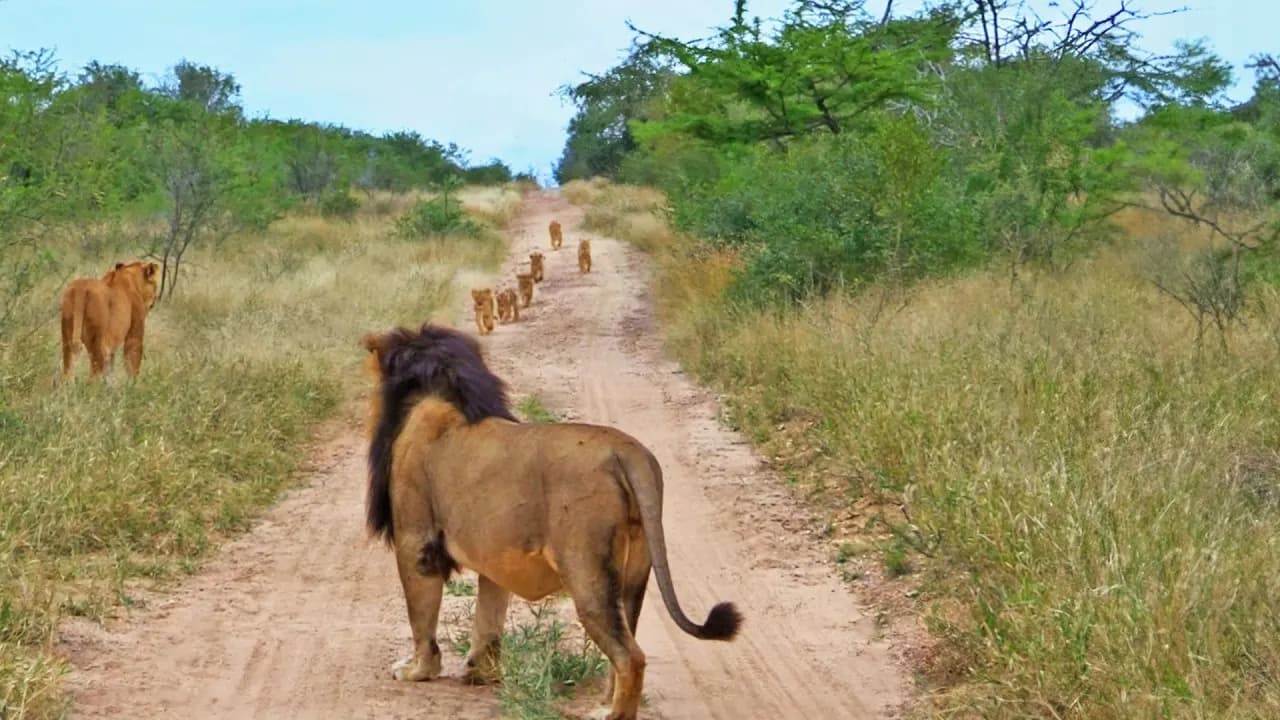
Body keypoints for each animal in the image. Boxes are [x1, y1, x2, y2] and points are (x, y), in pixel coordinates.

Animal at [360, 324, 742, 717]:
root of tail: (626, 450)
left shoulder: (414, 540)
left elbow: (421, 614)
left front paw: (417, 670)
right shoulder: (495, 555)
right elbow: (489, 618)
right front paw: (481, 673)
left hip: (587, 572)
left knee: (631, 656)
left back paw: (611, 713)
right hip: (634, 574)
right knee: (627, 644)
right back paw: (605, 702)